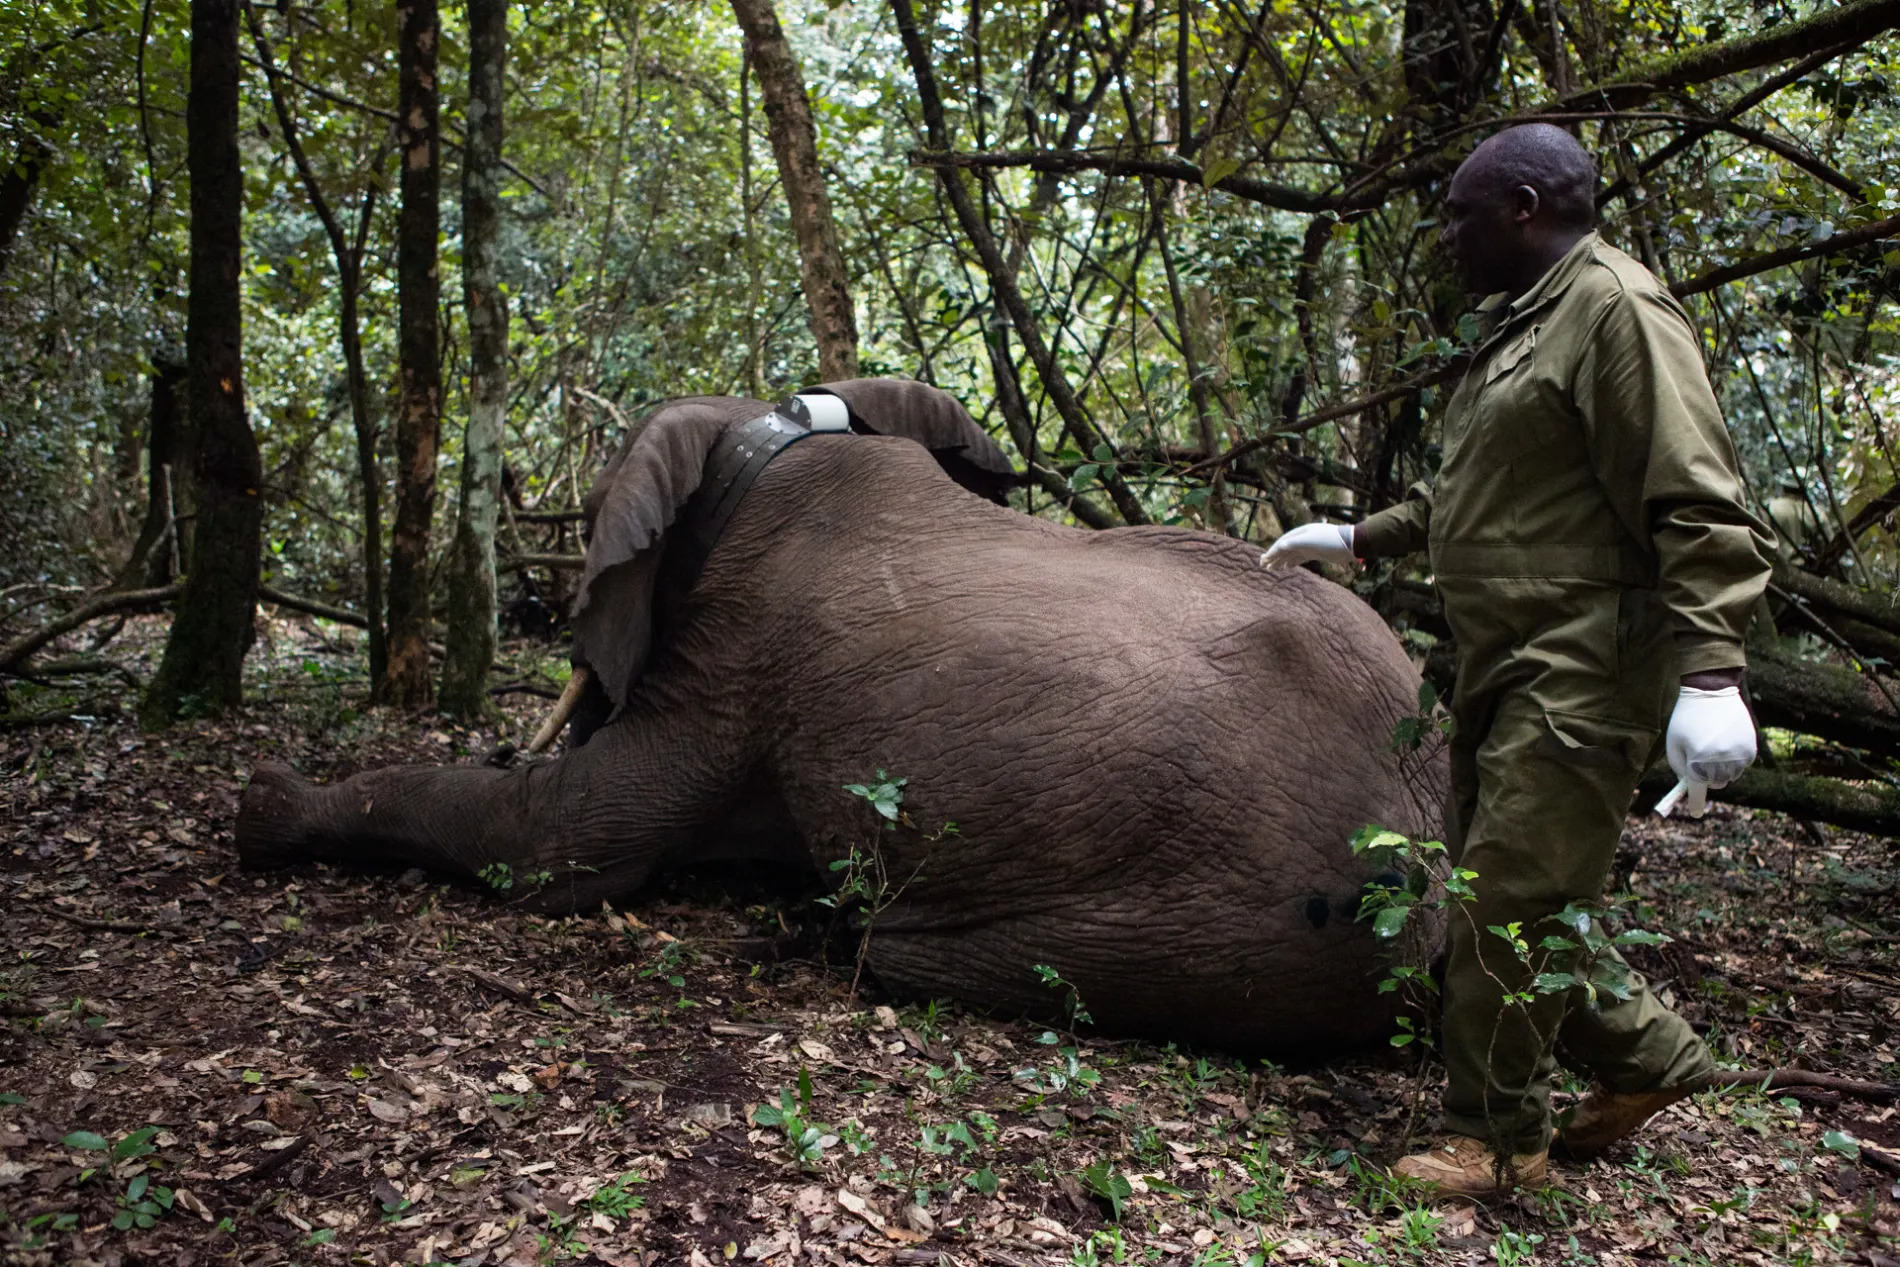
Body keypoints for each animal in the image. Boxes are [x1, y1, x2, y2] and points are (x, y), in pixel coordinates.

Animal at [245, 381, 1444, 1056]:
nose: (513, 733)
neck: (765, 424)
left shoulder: (735, 650)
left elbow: (564, 850)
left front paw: (264, 803)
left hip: (1221, 925)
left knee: (906, 956)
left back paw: (831, 935)